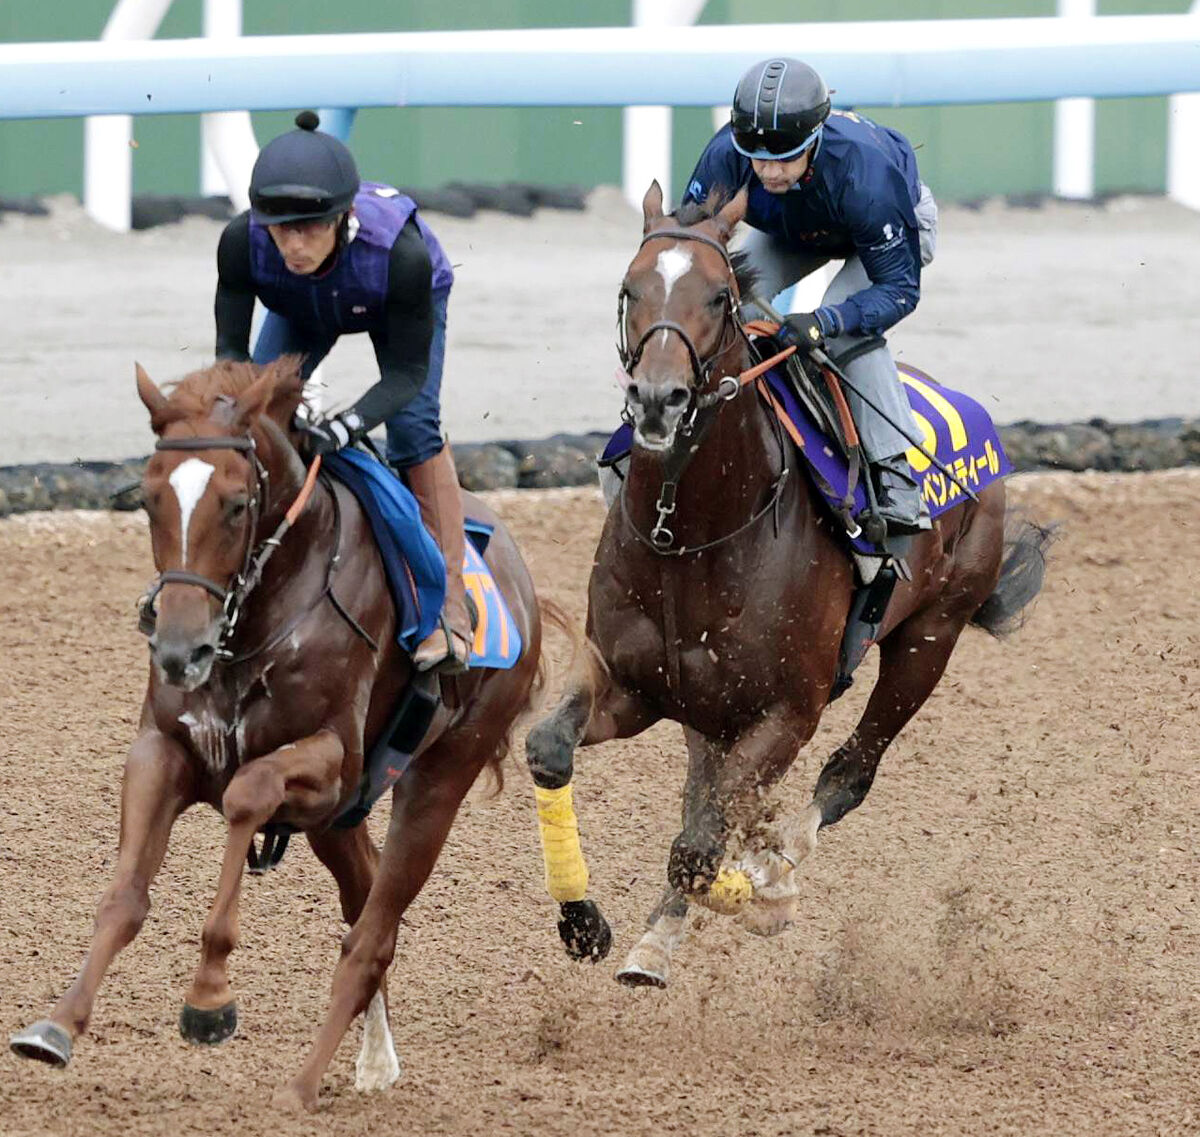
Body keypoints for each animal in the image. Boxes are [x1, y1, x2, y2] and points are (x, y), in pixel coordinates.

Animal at [8, 357, 544, 1108]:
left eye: (237, 504)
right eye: (149, 500)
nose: (179, 650)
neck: (257, 619)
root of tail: (519, 579)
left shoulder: (331, 767)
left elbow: (247, 793)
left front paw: (209, 996)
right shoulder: (164, 749)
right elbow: (124, 897)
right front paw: (56, 1025)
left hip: (437, 777)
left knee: (372, 933)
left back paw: (302, 1084)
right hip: (337, 822)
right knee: (364, 898)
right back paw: (374, 1059)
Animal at [528, 184, 1051, 988]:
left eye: (720, 296)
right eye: (630, 288)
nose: (657, 399)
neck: (690, 536)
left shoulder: (788, 711)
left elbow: (699, 847)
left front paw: (766, 893)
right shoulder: (632, 684)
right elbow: (551, 748)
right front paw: (584, 921)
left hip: (931, 635)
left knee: (849, 772)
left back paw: (775, 869)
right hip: (711, 712)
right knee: (705, 797)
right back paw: (660, 940)